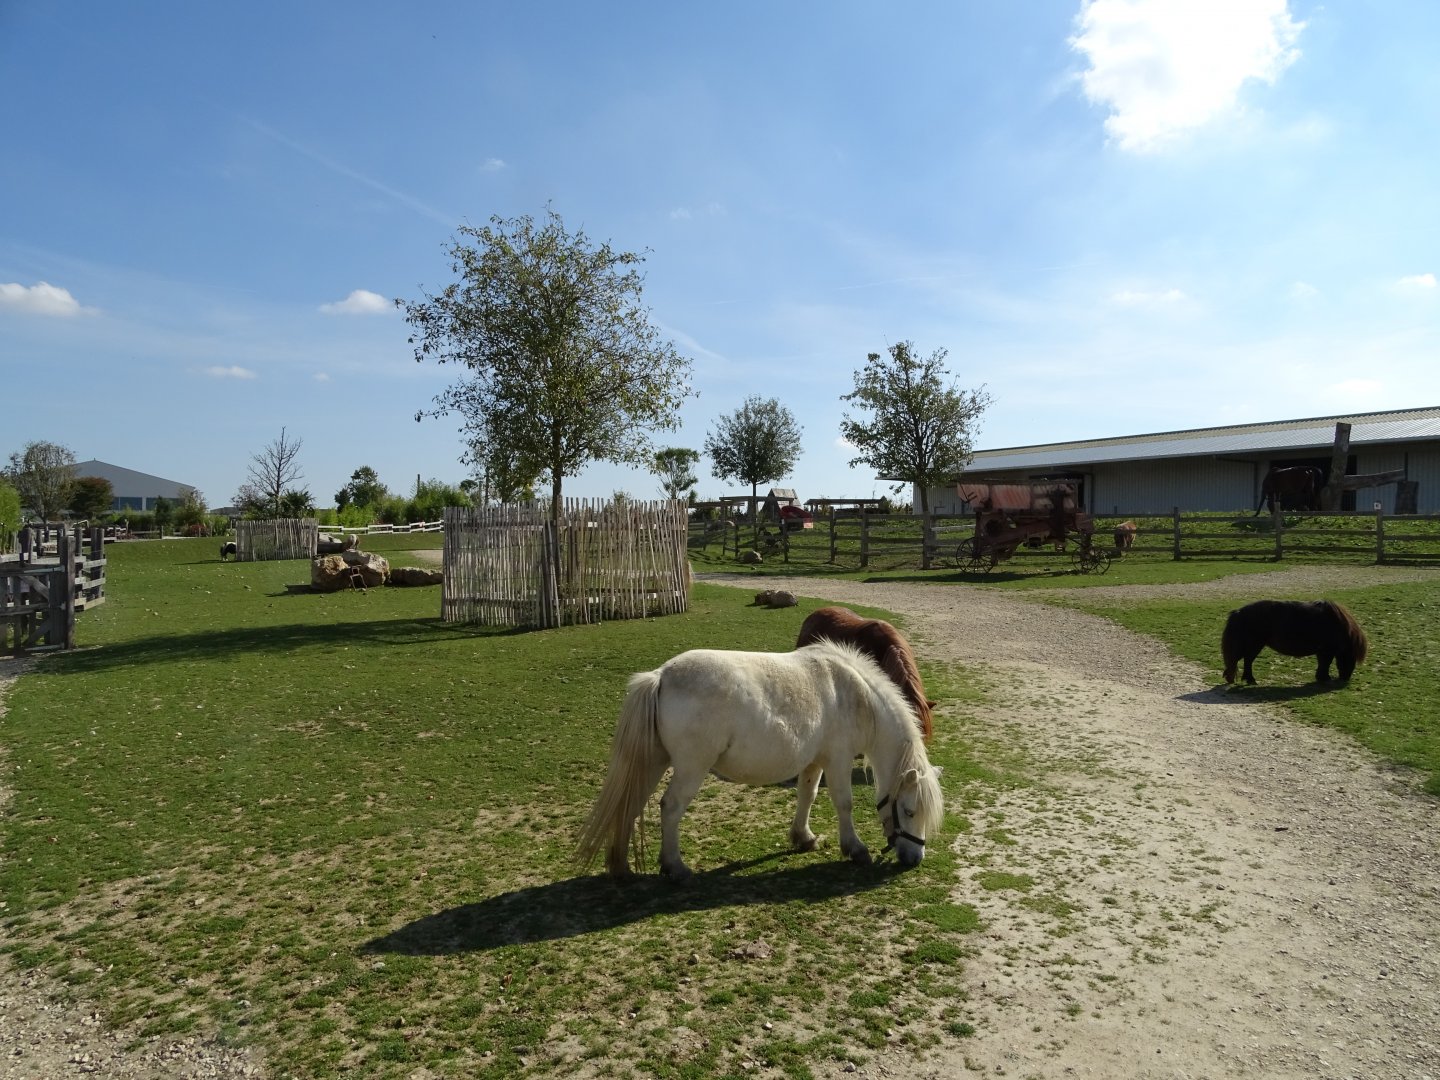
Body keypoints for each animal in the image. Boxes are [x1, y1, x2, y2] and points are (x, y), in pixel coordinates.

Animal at [575, 640, 945, 881]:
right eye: (910, 811)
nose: (915, 859)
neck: (854, 694)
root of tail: (661, 675)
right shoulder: (837, 760)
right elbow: (844, 803)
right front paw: (854, 849)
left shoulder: (814, 762)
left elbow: (807, 796)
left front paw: (803, 837)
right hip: (691, 768)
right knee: (670, 807)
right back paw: (674, 866)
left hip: (653, 762)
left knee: (632, 802)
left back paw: (621, 865)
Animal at [1221, 599, 1367, 685]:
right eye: (1352, 657)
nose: (1346, 678)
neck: (1335, 623)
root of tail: (1238, 612)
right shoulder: (1327, 650)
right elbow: (1325, 663)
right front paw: (1324, 677)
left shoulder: (1322, 651)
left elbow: (1322, 663)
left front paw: (1321, 677)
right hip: (1253, 646)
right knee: (1245, 661)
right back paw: (1248, 679)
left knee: (1243, 662)